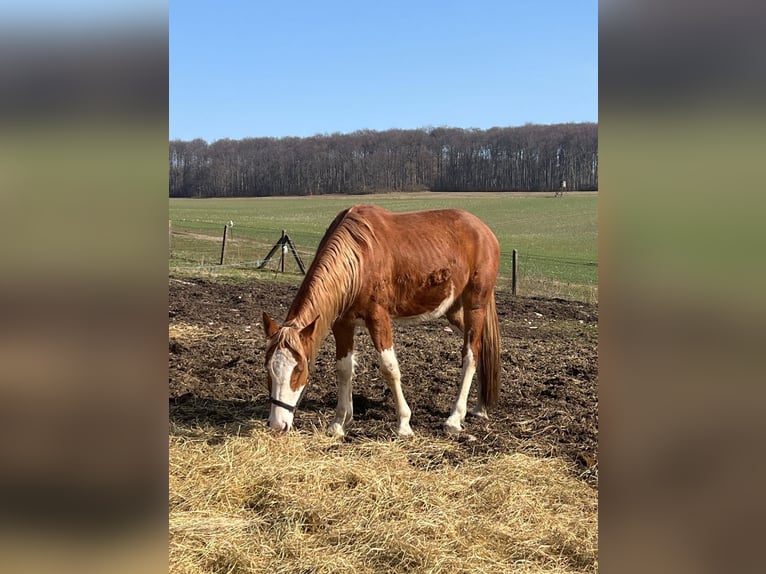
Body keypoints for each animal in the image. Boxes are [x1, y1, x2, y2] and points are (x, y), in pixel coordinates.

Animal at [262, 204, 501, 437]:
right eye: (268, 368)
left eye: (299, 369)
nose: (277, 425)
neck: (359, 257)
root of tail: (485, 232)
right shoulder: (342, 323)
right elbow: (344, 368)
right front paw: (339, 423)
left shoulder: (378, 317)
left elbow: (389, 367)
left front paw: (404, 424)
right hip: (454, 311)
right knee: (480, 348)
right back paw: (480, 408)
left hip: (475, 307)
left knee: (470, 355)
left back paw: (454, 418)